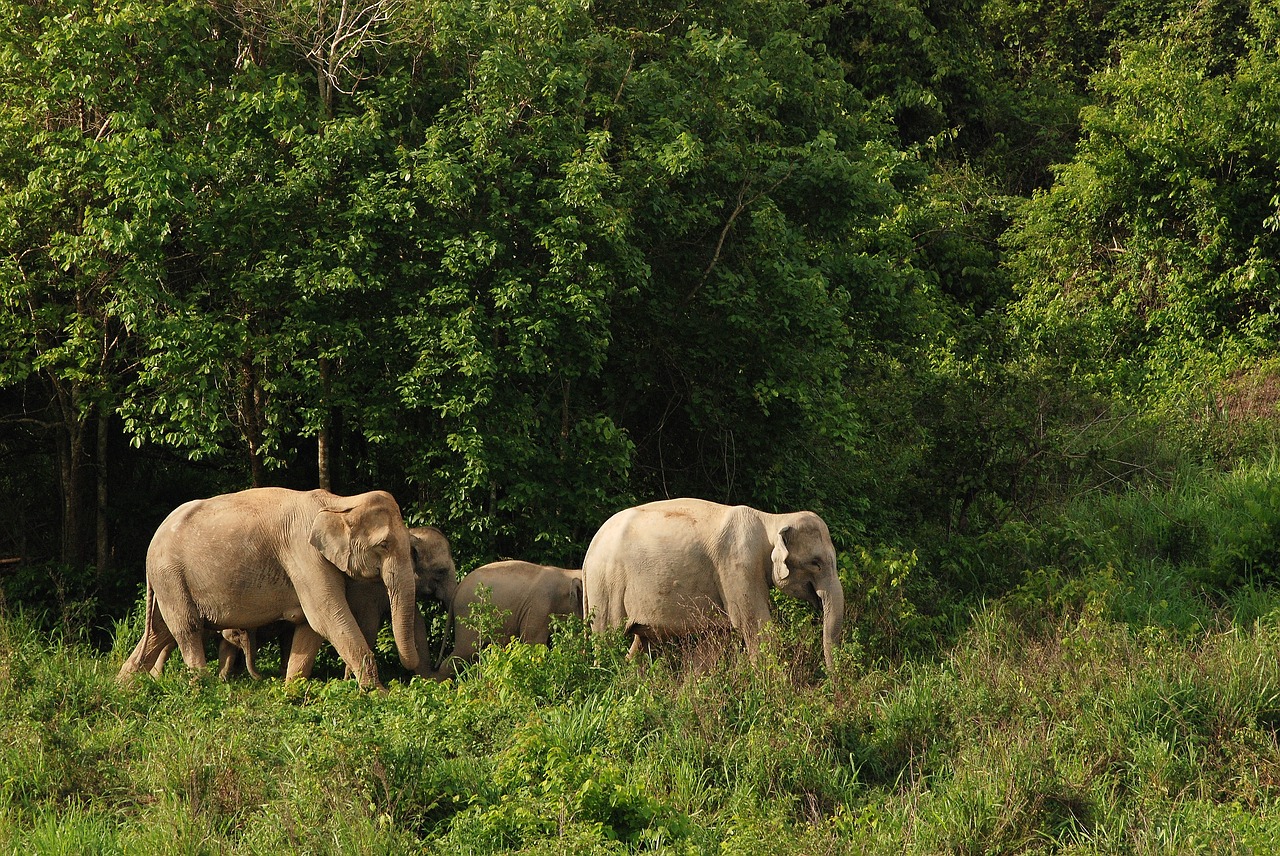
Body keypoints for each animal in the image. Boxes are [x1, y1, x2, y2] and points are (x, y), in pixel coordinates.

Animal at [117, 483, 422, 690]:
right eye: (384, 545)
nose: (411, 672)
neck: (340, 501)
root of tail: (152, 543)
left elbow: (311, 627)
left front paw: (291, 694)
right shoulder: (302, 553)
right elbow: (326, 617)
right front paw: (379, 694)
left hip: (168, 581)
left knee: (159, 632)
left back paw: (124, 687)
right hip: (170, 575)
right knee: (186, 629)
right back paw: (202, 689)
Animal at [435, 557, 586, 675]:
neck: (566, 573)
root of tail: (458, 588)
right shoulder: (539, 606)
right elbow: (533, 643)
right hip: (468, 614)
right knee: (464, 652)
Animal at [583, 496, 844, 670]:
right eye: (816, 563)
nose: (830, 681)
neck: (771, 520)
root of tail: (588, 554)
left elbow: (716, 639)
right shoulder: (738, 566)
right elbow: (756, 627)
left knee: (640, 643)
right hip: (605, 585)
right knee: (607, 638)